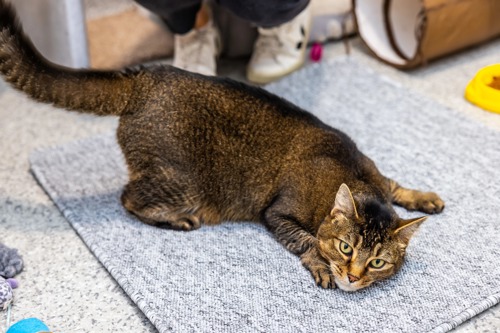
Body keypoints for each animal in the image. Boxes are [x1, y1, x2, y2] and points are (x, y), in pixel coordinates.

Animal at [0, 1, 446, 290]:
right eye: (344, 247)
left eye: (377, 262)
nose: (354, 277)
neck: (355, 178)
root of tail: (145, 76)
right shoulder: (277, 212)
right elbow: (304, 239)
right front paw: (319, 263)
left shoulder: (377, 176)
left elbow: (397, 184)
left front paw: (424, 197)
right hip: (182, 183)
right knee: (128, 197)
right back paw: (176, 220)